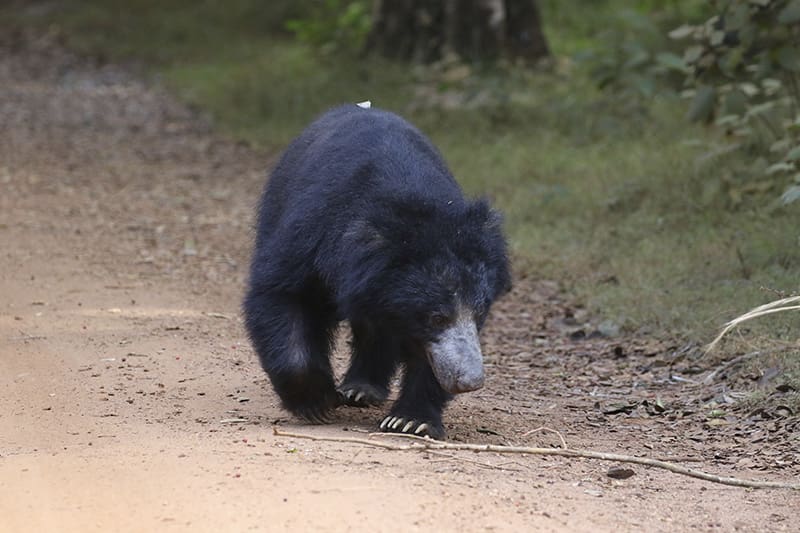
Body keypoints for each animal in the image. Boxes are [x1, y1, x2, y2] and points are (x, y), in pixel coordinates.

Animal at [243, 104, 511, 439]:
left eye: (480, 312)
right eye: (437, 317)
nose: (470, 381)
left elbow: (429, 357)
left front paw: (410, 420)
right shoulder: (310, 235)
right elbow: (281, 294)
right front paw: (317, 402)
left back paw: (362, 389)